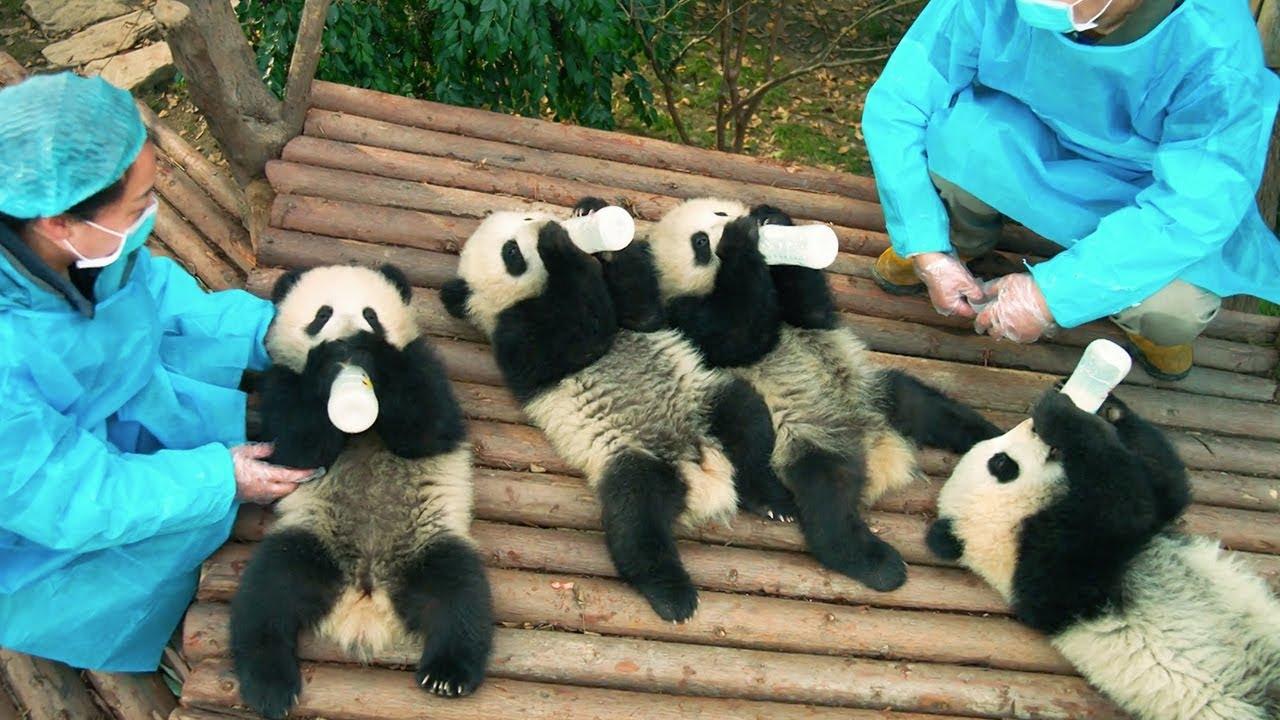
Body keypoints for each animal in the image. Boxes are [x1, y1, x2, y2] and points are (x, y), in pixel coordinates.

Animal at [230, 264, 493, 719]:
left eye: (372, 314)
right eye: (322, 315)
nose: (350, 340)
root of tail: (366, 594)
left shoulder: (422, 366)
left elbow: (426, 429)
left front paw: (374, 353)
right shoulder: (282, 382)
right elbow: (298, 447)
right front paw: (326, 361)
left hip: (428, 543)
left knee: (459, 596)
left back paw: (447, 674)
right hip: (312, 540)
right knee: (268, 595)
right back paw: (270, 686)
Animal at [439, 207, 795, 622]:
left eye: (526, 215)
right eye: (511, 251)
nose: (542, 222)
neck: (537, 293)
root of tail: (700, 470)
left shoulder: (640, 310)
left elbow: (641, 311)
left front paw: (593, 220)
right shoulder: (516, 339)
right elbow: (581, 335)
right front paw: (560, 244)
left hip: (704, 399)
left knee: (747, 422)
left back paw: (773, 500)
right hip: (627, 457)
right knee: (635, 519)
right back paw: (673, 595)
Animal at [643, 198, 1002, 591]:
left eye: (719, 214)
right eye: (701, 243)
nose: (733, 223)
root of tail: (879, 445)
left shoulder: (795, 310)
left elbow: (809, 309)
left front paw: (772, 218)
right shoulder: (688, 318)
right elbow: (739, 336)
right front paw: (740, 242)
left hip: (873, 390)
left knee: (927, 407)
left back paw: (997, 438)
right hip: (808, 439)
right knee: (828, 498)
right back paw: (877, 564)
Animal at [927, 389, 1280, 720]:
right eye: (1001, 464)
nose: (1032, 427)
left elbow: (1164, 489)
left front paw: (1106, 406)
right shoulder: (1053, 568)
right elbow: (1127, 504)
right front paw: (1061, 413)